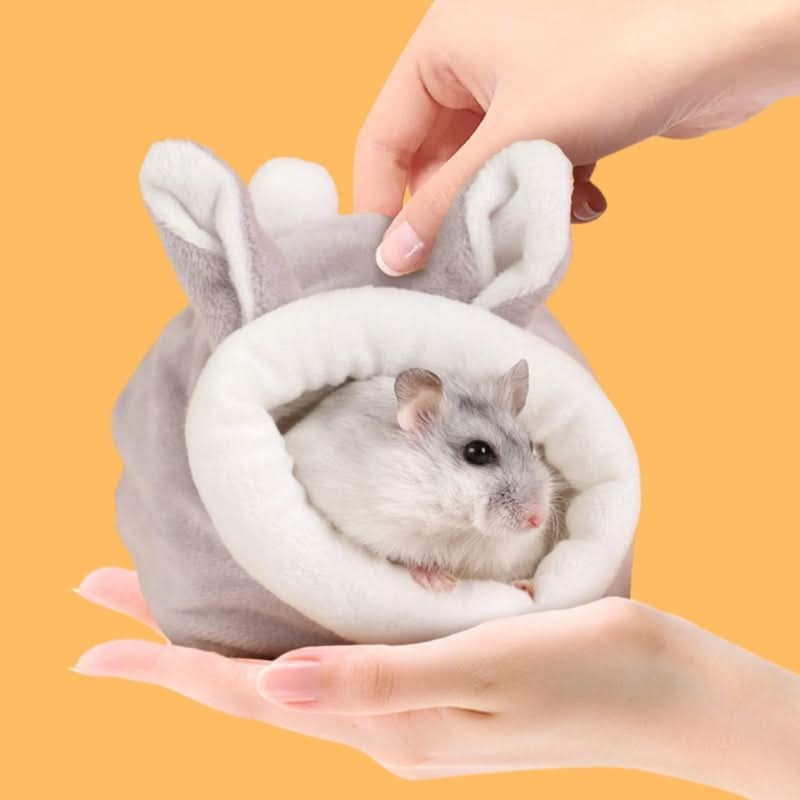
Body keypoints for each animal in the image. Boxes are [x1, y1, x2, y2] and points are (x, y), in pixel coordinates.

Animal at [283, 360, 566, 597]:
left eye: (531, 445)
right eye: (477, 452)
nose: (538, 519)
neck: (458, 527)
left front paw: (526, 587)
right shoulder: (378, 527)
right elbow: (403, 557)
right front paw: (443, 584)